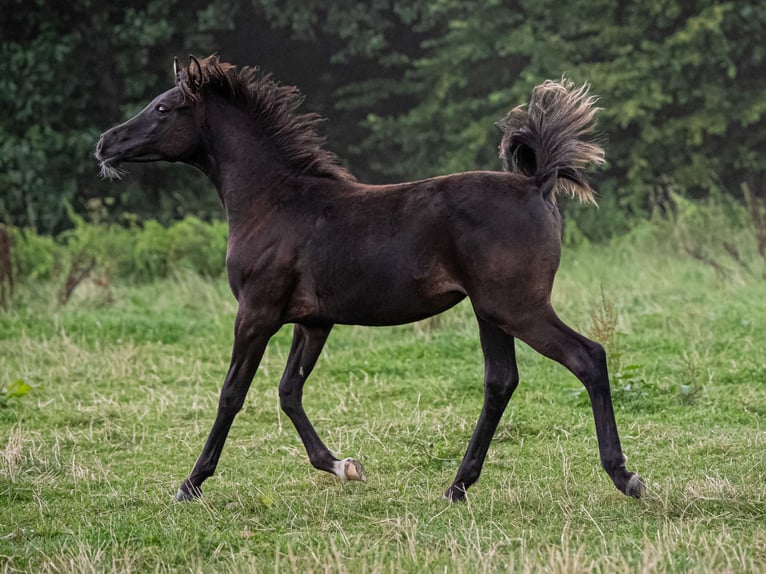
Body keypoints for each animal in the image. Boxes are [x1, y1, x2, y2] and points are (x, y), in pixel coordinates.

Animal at [95, 55, 644, 503]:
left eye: (163, 108)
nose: (104, 143)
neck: (273, 201)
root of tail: (537, 184)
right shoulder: (313, 321)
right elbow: (288, 391)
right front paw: (343, 466)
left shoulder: (256, 312)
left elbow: (232, 393)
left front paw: (190, 483)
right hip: (490, 311)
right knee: (501, 380)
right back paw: (457, 487)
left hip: (519, 307)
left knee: (588, 357)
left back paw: (625, 477)